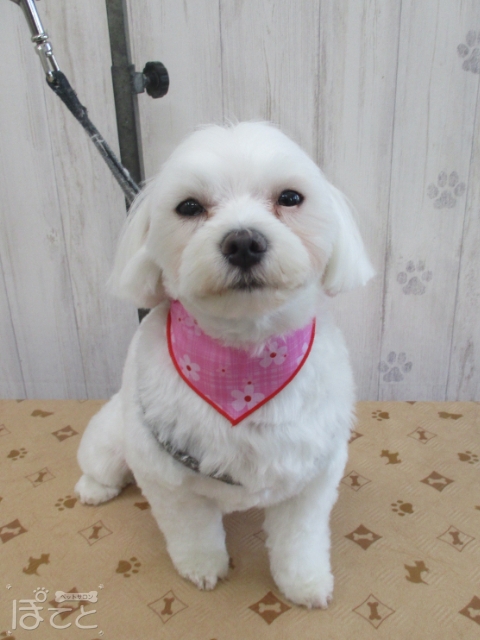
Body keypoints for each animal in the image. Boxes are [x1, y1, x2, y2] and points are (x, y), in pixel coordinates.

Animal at [75, 121, 374, 608]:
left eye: (290, 197)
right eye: (189, 206)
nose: (244, 242)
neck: (242, 366)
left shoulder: (311, 476)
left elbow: (300, 539)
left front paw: (304, 582)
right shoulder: (168, 481)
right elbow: (194, 534)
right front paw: (203, 568)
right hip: (112, 436)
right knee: (100, 464)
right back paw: (93, 489)